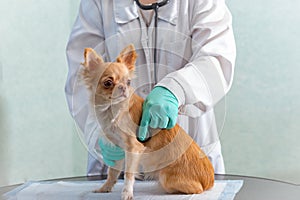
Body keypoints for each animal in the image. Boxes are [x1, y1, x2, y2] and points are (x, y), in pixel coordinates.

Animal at [81, 44, 214, 199]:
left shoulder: (133, 148)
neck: (112, 109)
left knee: (196, 190)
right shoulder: (117, 148)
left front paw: (127, 193)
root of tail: (209, 181)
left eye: (128, 82)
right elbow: (113, 172)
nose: (123, 87)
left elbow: (128, 174)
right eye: (108, 83)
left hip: (166, 177)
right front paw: (105, 188)